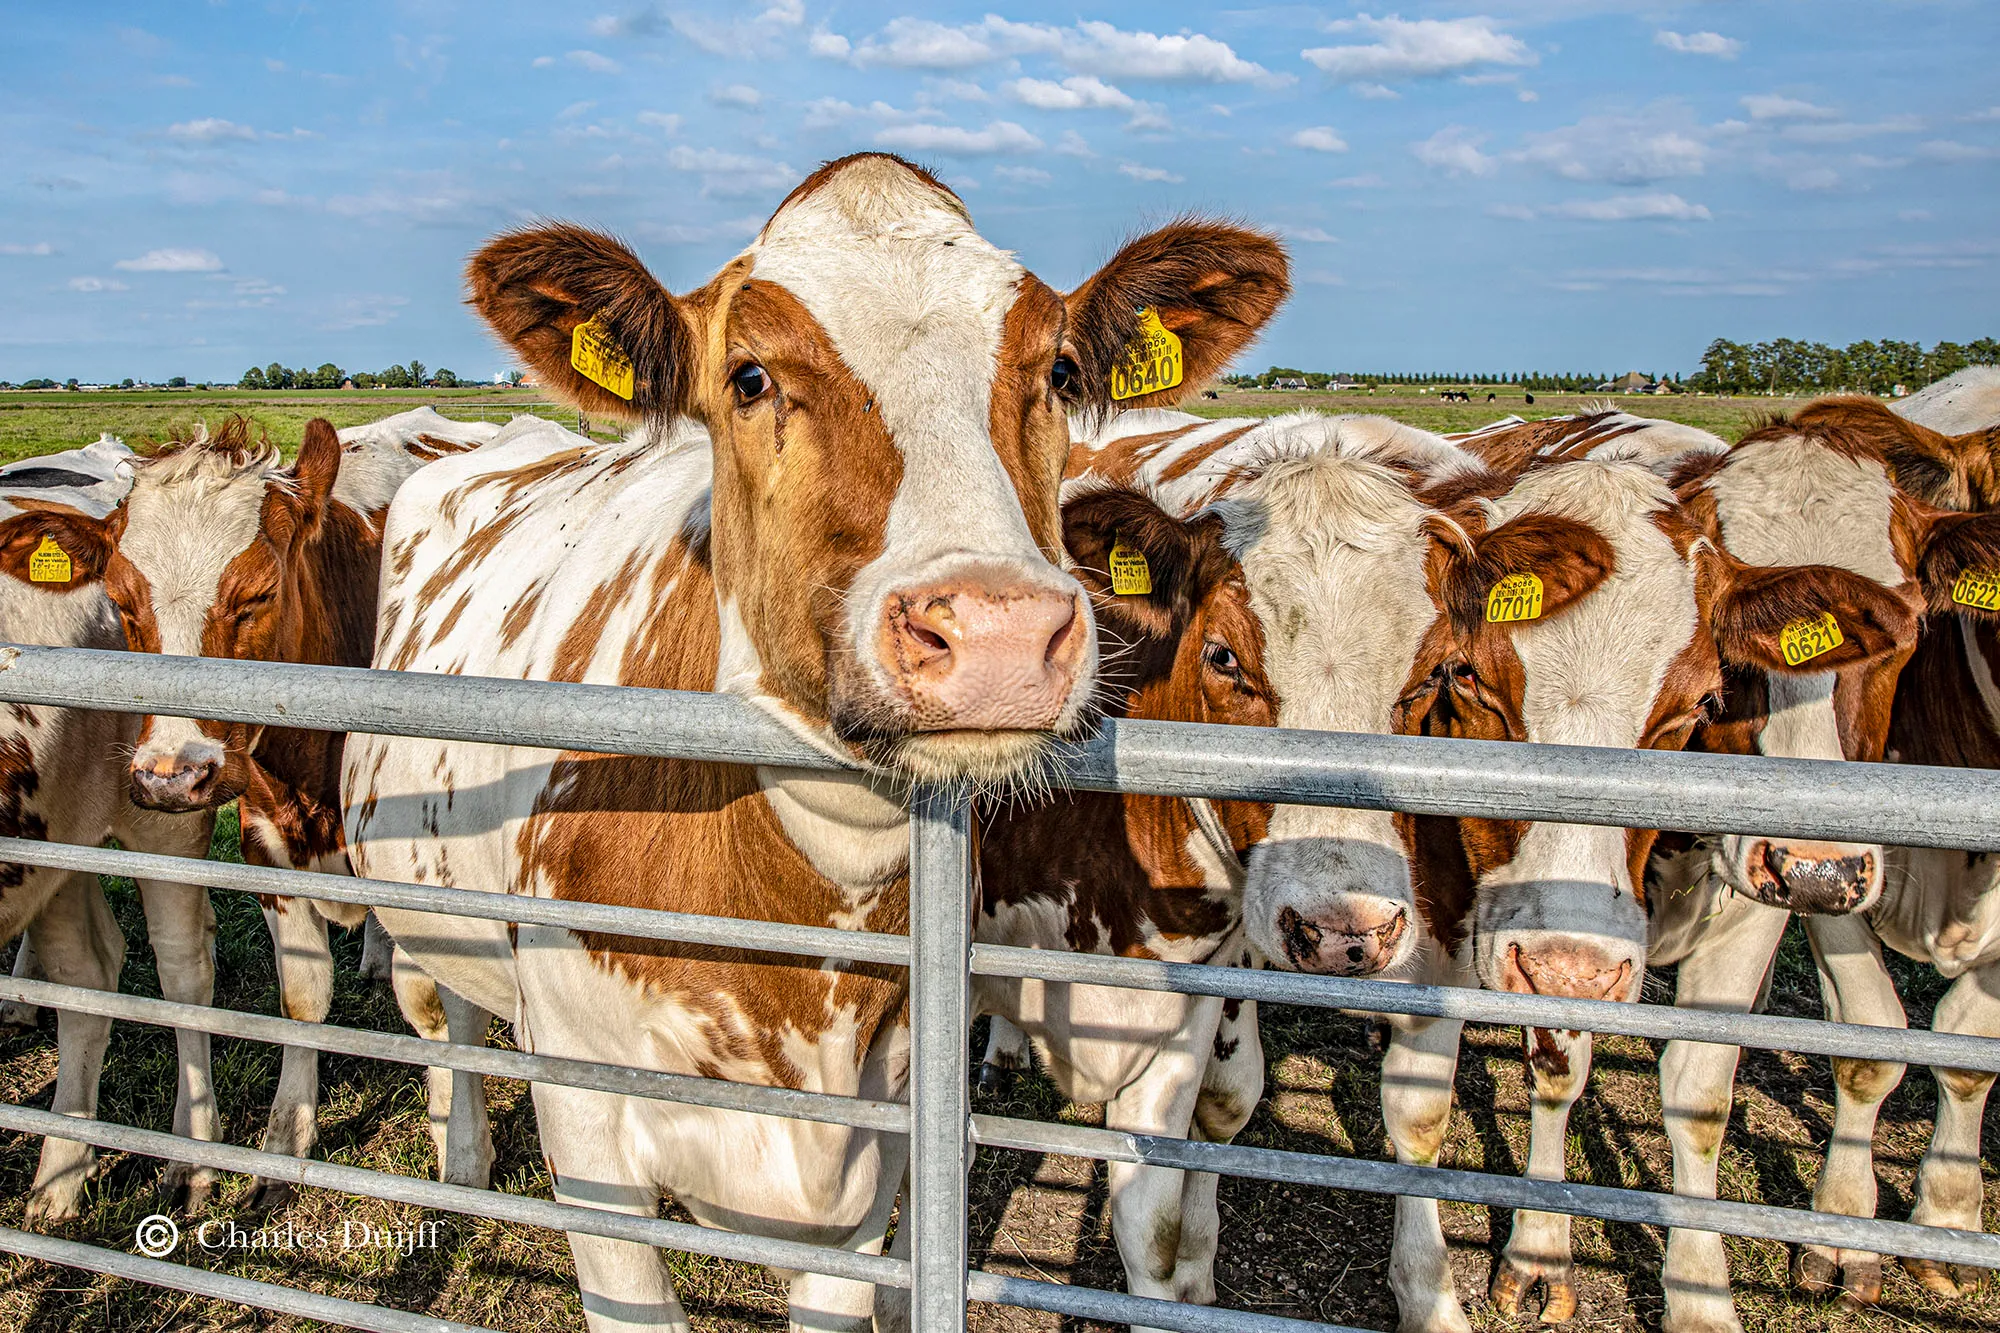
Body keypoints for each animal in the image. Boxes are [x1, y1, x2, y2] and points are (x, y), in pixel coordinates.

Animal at [42, 408, 497, 1207]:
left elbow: (436, 1007)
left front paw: (457, 1141)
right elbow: (301, 998)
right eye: (122, 604)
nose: (171, 778)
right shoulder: (265, 846)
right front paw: (285, 1144)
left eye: (256, 594)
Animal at [341, 153, 1287, 1331]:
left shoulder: (869, 1169)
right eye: (748, 376)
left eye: (1062, 370)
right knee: (445, 1019)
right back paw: (460, 1158)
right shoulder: (589, 1131)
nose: (996, 631)